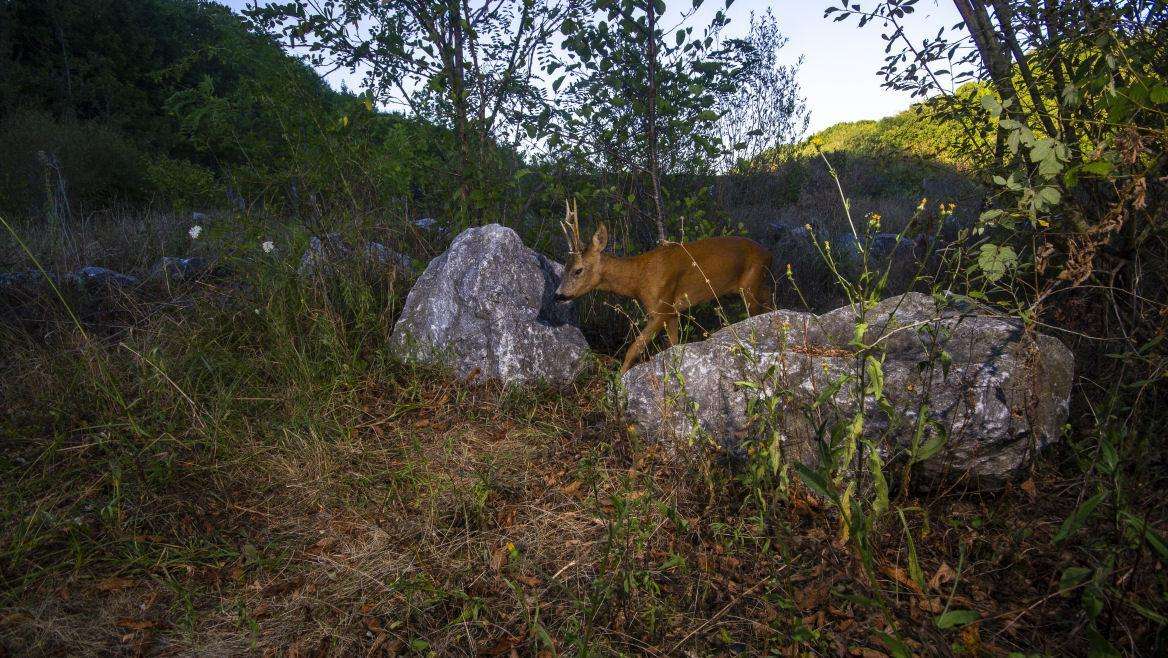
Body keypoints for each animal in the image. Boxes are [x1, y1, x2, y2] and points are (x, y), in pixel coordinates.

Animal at [551, 201, 770, 373]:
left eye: (578, 270)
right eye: (565, 266)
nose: (558, 295)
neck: (638, 278)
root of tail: (769, 254)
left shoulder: (661, 308)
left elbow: (634, 348)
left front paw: (618, 386)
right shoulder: (673, 312)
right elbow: (673, 345)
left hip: (751, 286)